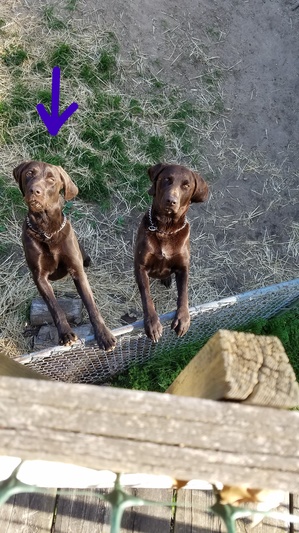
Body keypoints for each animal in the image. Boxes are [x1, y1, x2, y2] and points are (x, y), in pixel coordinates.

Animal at [14, 161, 117, 354]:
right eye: (29, 173)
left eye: (51, 179)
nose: (34, 190)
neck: (47, 230)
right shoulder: (39, 277)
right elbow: (55, 307)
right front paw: (66, 334)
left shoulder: (77, 270)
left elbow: (91, 304)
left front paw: (104, 335)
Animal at [135, 162, 210, 342]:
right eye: (166, 179)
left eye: (186, 185)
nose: (171, 201)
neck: (165, 229)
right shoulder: (140, 266)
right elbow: (146, 295)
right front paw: (152, 324)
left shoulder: (183, 267)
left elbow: (183, 292)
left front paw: (183, 319)